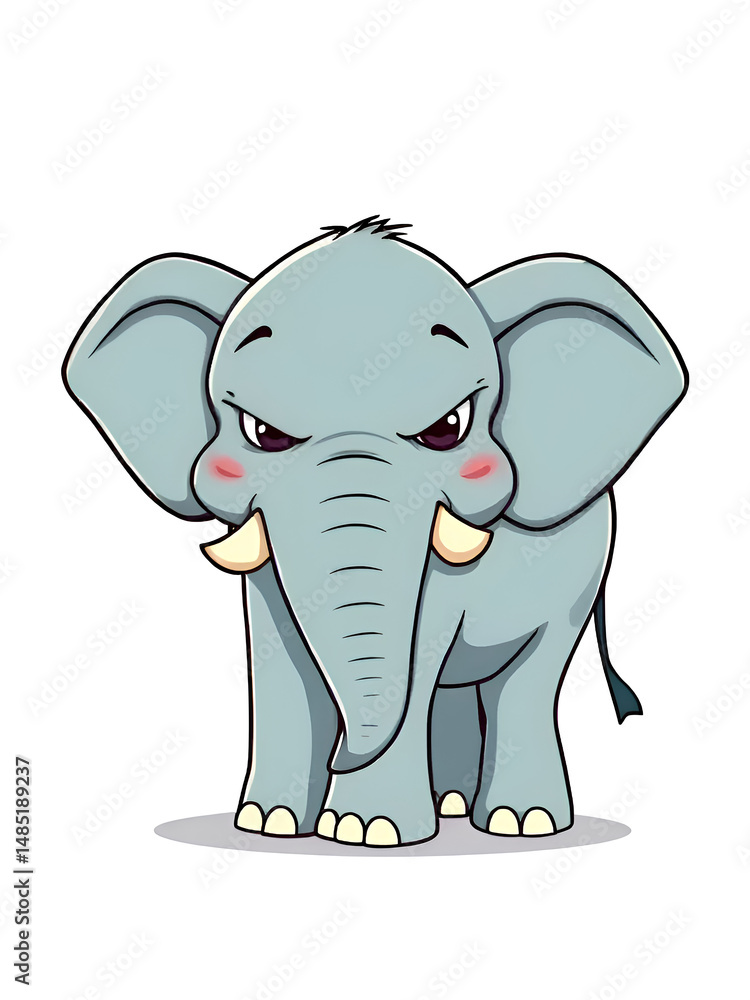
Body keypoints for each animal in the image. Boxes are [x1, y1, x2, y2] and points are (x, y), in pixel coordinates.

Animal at [63, 216, 687, 847]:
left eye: (447, 429)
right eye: (263, 433)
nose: (344, 756)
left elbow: (421, 651)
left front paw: (366, 832)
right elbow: (281, 658)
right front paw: (270, 823)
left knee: (528, 679)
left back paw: (520, 823)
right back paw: (452, 806)